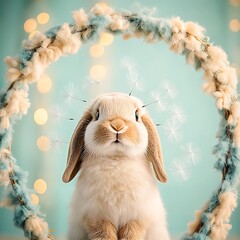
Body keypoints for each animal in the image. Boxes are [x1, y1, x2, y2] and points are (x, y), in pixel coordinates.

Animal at [62, 92, 171, 240]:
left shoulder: (136, 218)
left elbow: (132, 234)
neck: (116, 159)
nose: (117, 126)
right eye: (97, 114)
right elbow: (103, 234)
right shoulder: (97, 218)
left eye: (136, 115)